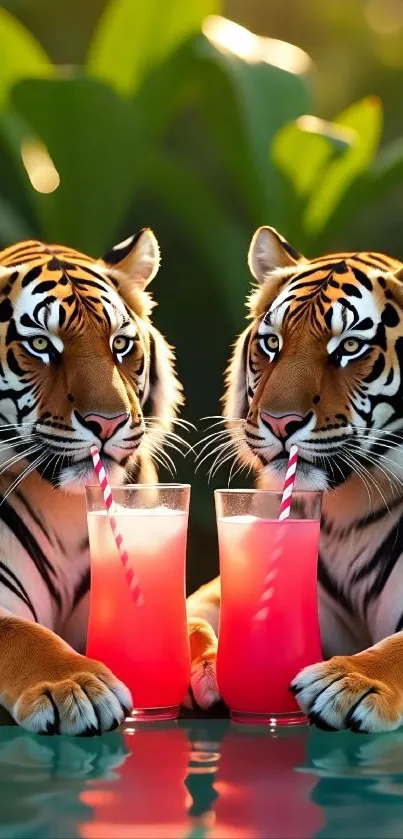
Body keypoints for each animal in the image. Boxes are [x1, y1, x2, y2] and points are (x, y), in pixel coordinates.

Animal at [0, 228, 214, 735]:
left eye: (119, 344)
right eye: (41, 345)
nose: (108, 422)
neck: (64, 506)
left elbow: (190, 621)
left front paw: (211, 665)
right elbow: (18, 631)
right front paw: (76, 686)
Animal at [187, 224, 403, 733]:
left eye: (349, 347)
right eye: (272, 343)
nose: (279, 422)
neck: (346, 512)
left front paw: (351, 682)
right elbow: (192, 617)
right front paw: (205, 667)